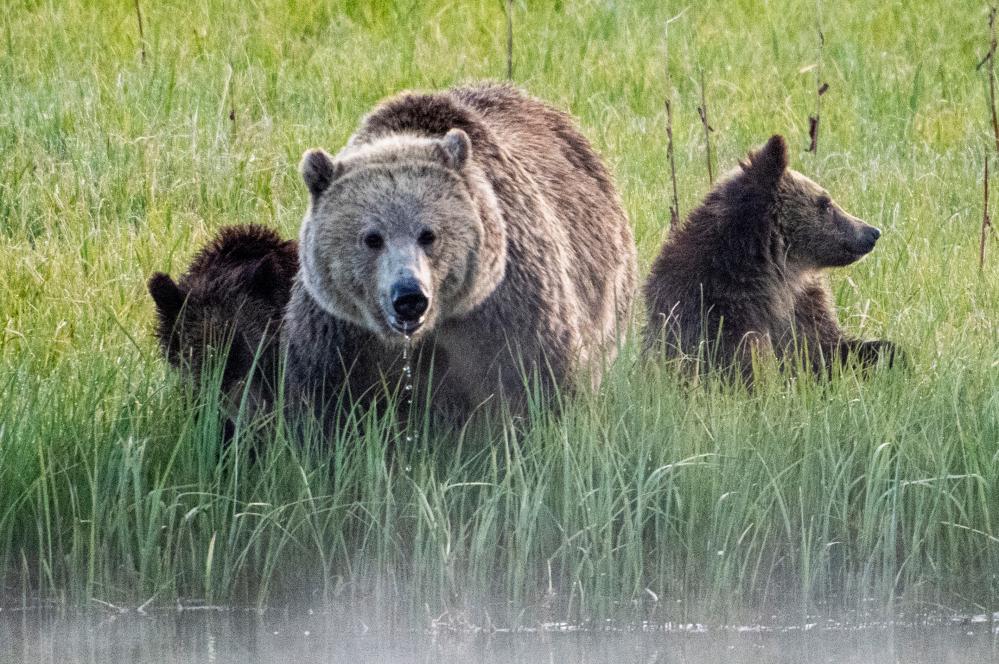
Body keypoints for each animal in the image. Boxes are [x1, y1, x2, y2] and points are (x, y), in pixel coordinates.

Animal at [284, 83, 637, 426]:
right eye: (372, 238)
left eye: (429, 234)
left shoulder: (507, 309)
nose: (409, 296)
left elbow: (537, 382)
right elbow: (324, 401)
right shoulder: (340, 332)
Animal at [643, 134, 898, 380]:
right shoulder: (717, 314)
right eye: (825, 203)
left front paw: (891, 356)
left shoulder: (802, 309)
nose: (872, 232)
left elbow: (832, 349)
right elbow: (746, 368)